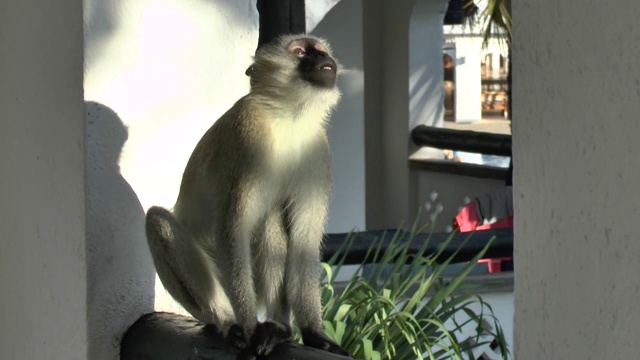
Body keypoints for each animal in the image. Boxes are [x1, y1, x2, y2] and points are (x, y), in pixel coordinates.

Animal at [144, 33, 350, 358]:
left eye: (319, 50)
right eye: (300, 52)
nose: (321, 59)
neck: (289, 117)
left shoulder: (318, 149)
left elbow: (304, 241)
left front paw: (314, 334)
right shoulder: (248, 133)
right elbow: (233, 230)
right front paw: (251, 330)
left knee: (272, 217)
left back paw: (279, 326)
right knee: (158, 221)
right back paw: (228, 323)